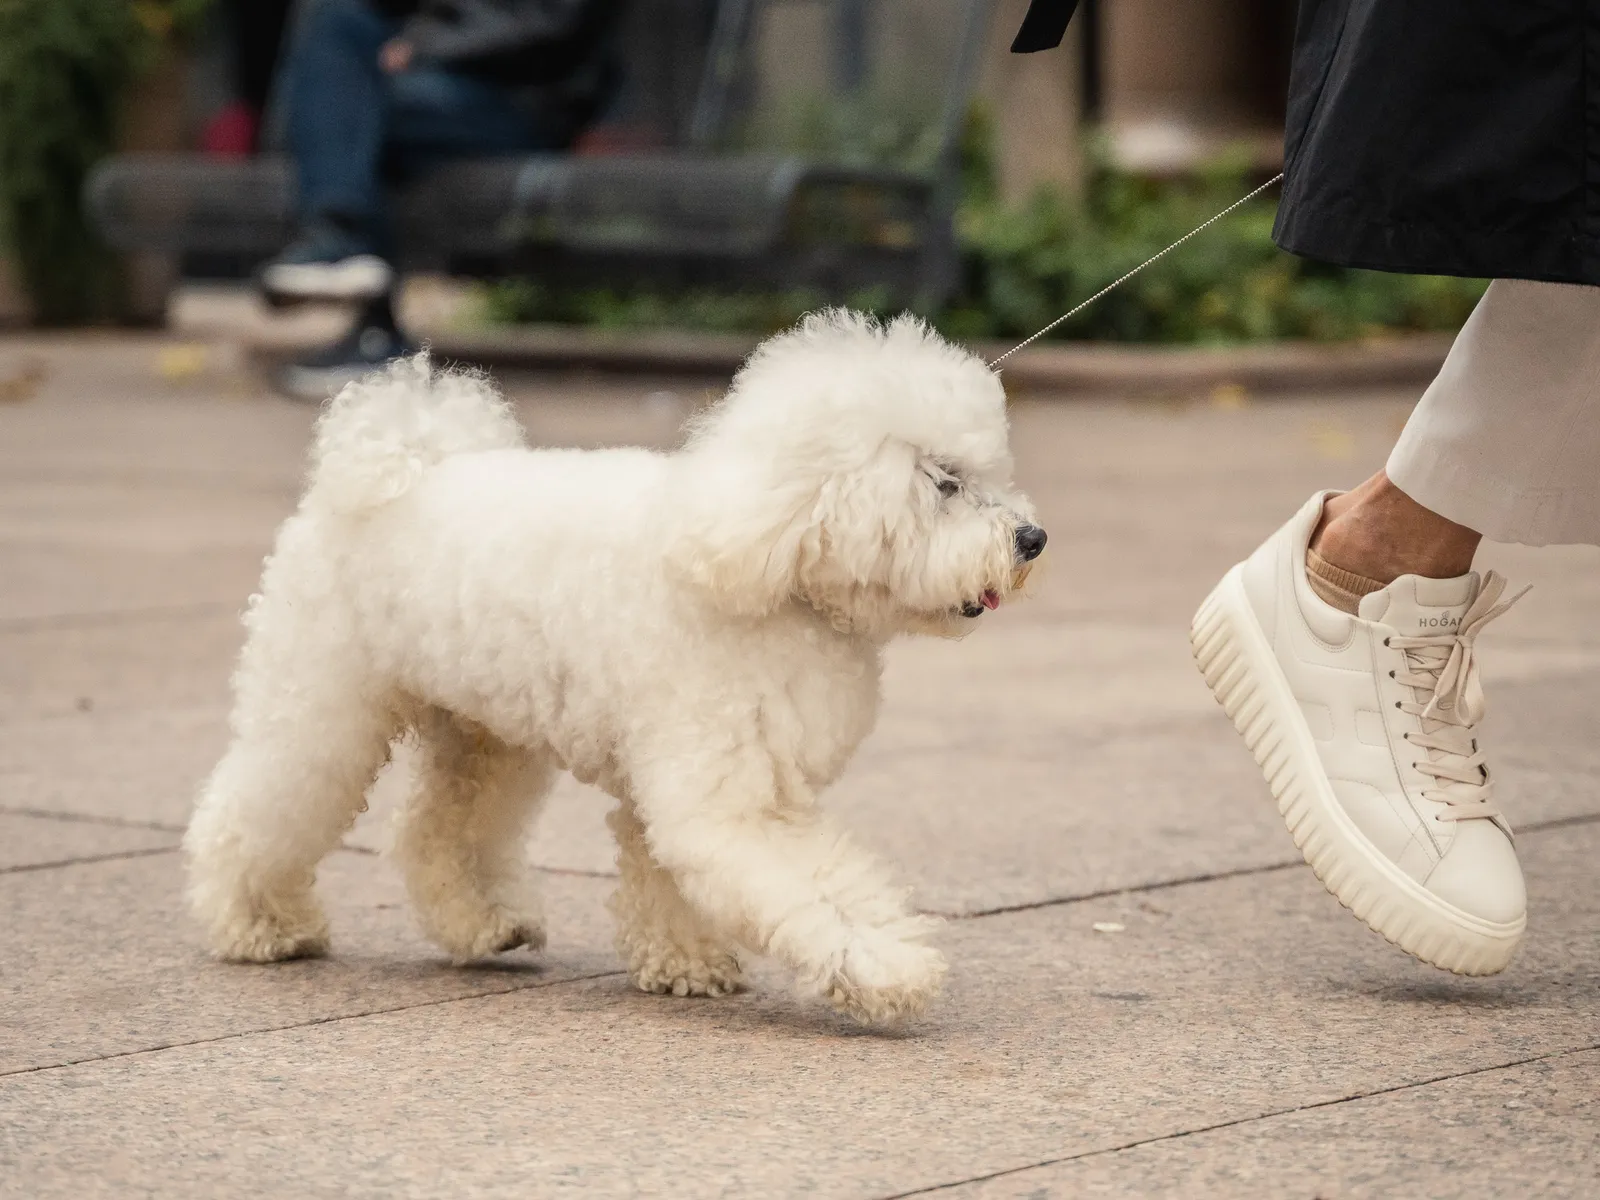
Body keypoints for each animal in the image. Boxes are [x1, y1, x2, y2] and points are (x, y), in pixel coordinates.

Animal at [181, 310, 1043, 1024]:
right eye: (944, 482)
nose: (1032, 539)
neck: (759, 560)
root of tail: (401, 464)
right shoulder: (727, 798)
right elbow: (816, 890)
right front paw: (887, 967)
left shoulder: (676, 785)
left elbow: (667, 875)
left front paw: (686, 966)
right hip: (321, 706)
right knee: (257, 810)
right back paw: (260, 924)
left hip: (487, 733)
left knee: (438, 830)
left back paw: (485, 924)